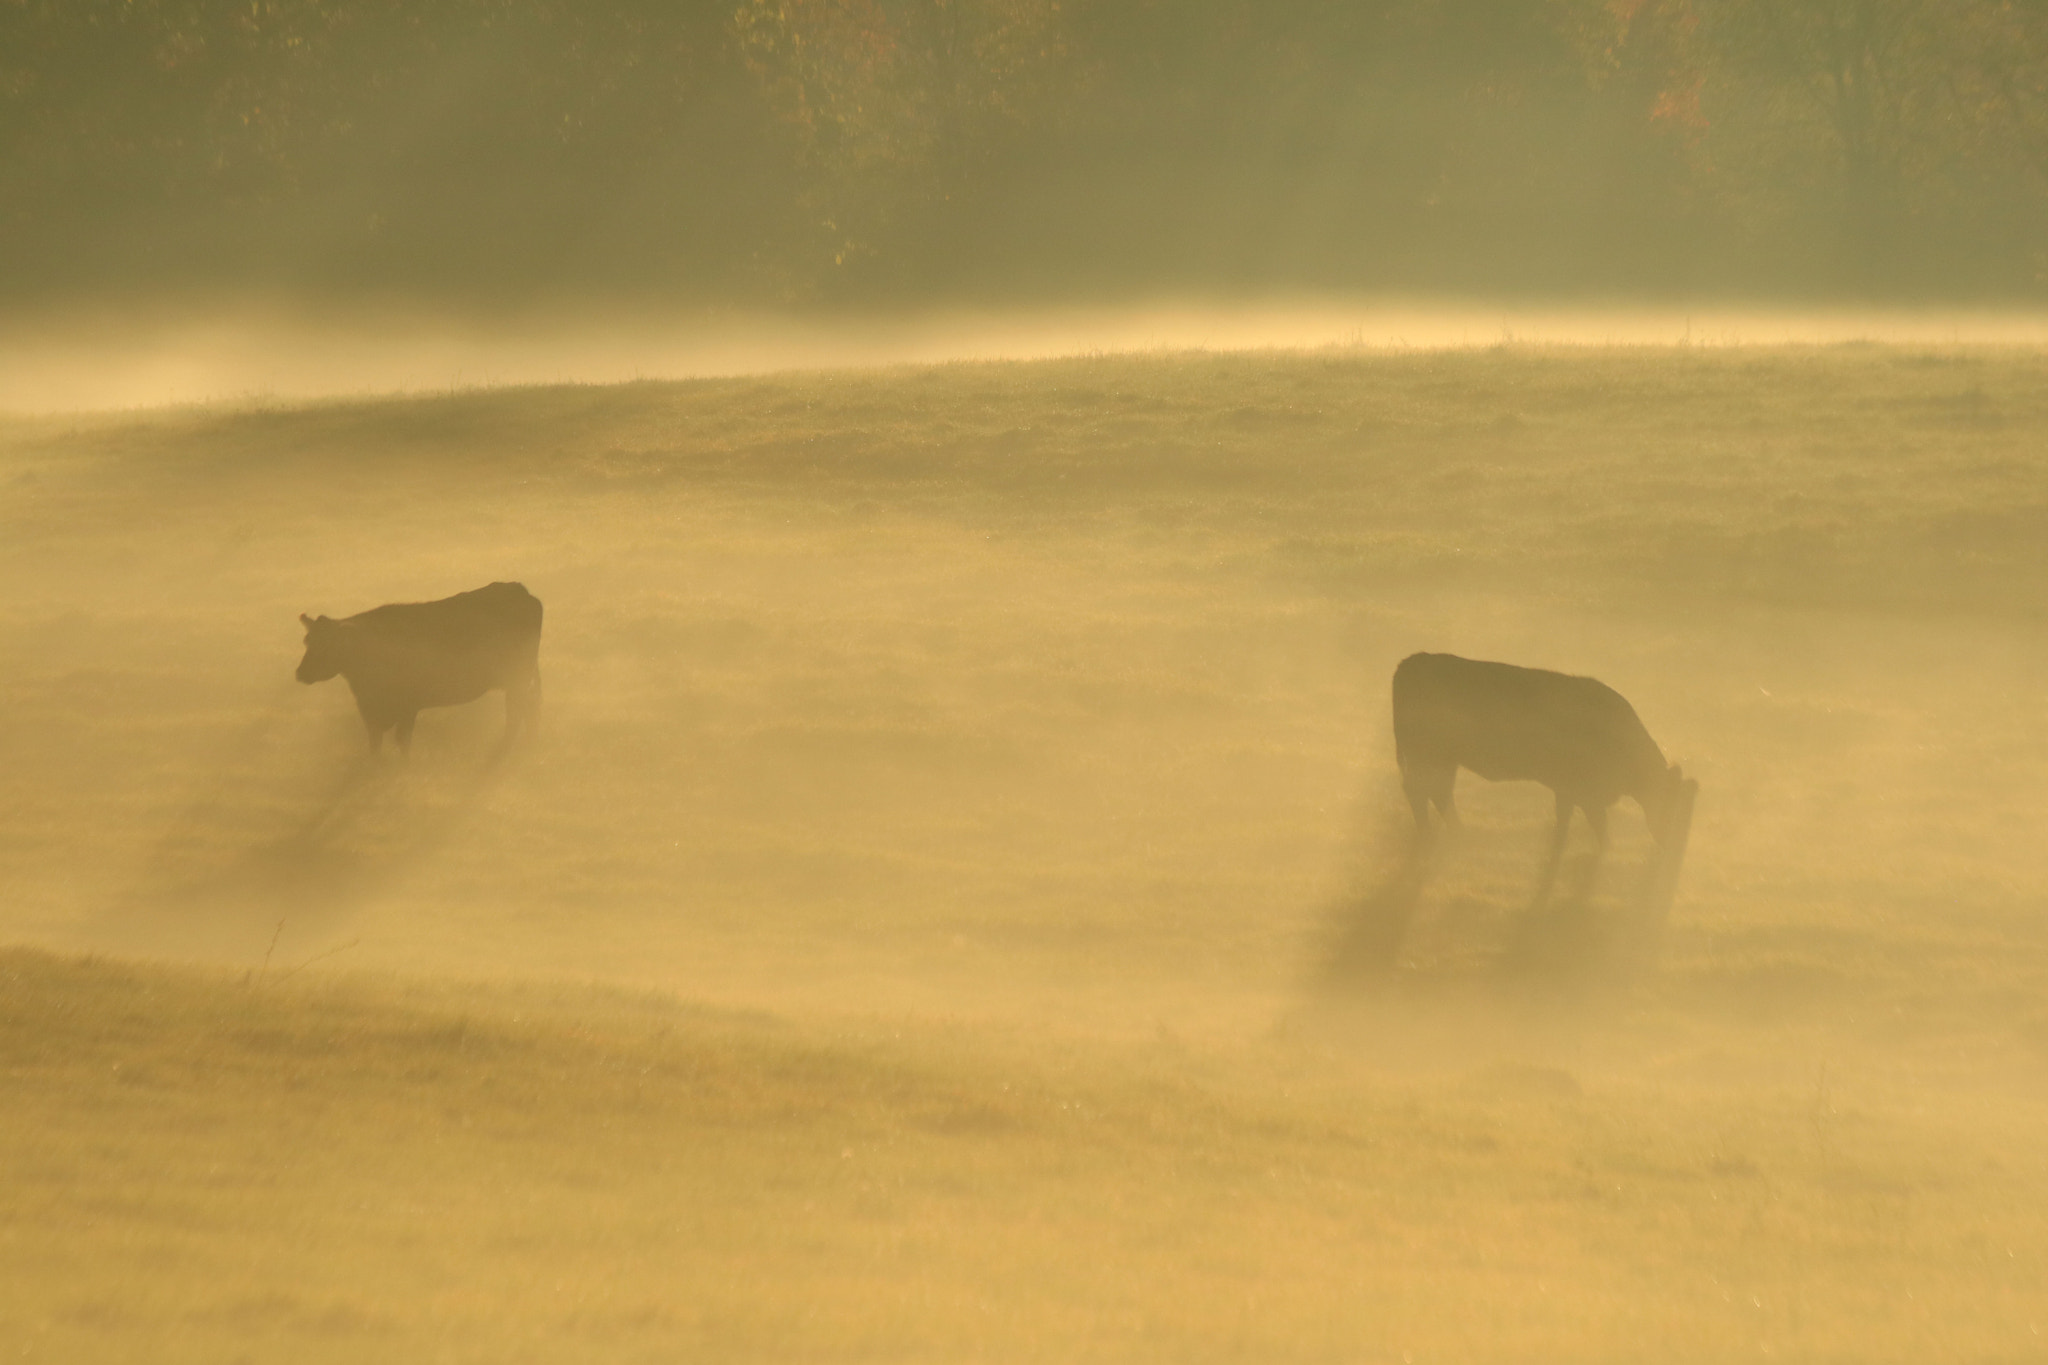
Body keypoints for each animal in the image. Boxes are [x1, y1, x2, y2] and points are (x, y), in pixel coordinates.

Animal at [295, 581, 542, 756]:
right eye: (308, 641)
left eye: (328, 645)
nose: (300, 673)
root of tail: (519, 590)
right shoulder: (370, 713)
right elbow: (375, 748)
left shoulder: (408, 706)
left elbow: (403, 743)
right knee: (528, 709)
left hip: (518, 679)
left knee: (517, 715)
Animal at [1392, 652, 1696, 910]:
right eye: (1670, 804)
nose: (1670, 845)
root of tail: (1411, 662)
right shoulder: (1580, 792)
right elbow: (1592, 826)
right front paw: (1602, 851)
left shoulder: (1571, 792)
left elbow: (1571, 823)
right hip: (1427, 755)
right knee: (1420, 792)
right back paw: (1430, 836)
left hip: (1444, 760)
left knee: (1438, 793)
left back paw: (1457, 833)